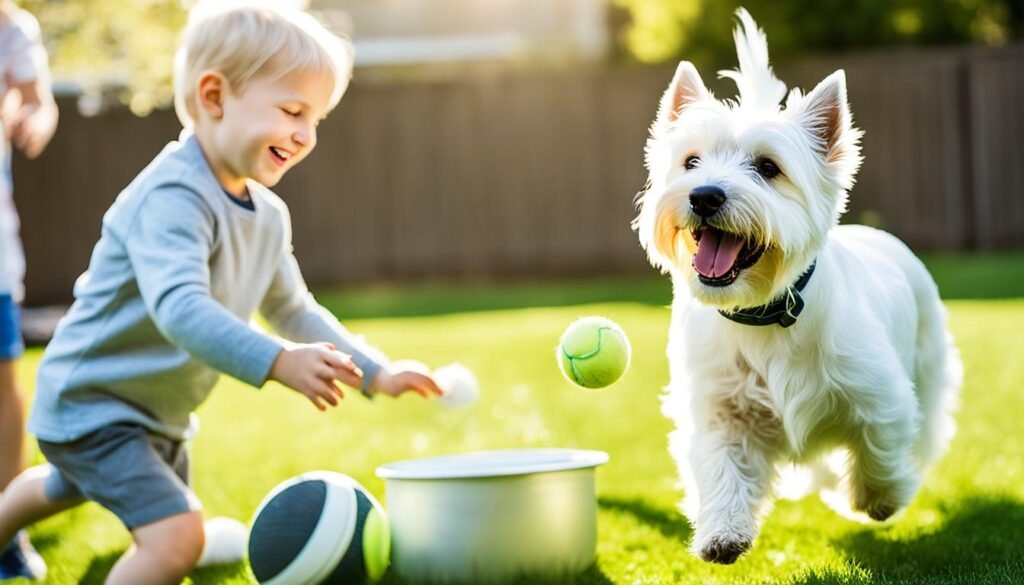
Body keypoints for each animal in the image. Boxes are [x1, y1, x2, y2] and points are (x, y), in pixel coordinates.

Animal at [630, 9, 958, 565]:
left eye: (768, 168)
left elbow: (880, 446)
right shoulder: (720, 410)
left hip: (929, 367)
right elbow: (723, 468)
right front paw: (723, 533)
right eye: (691, 162)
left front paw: (877, 499)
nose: (703, 195)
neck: (765, 312)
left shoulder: (881, 392)